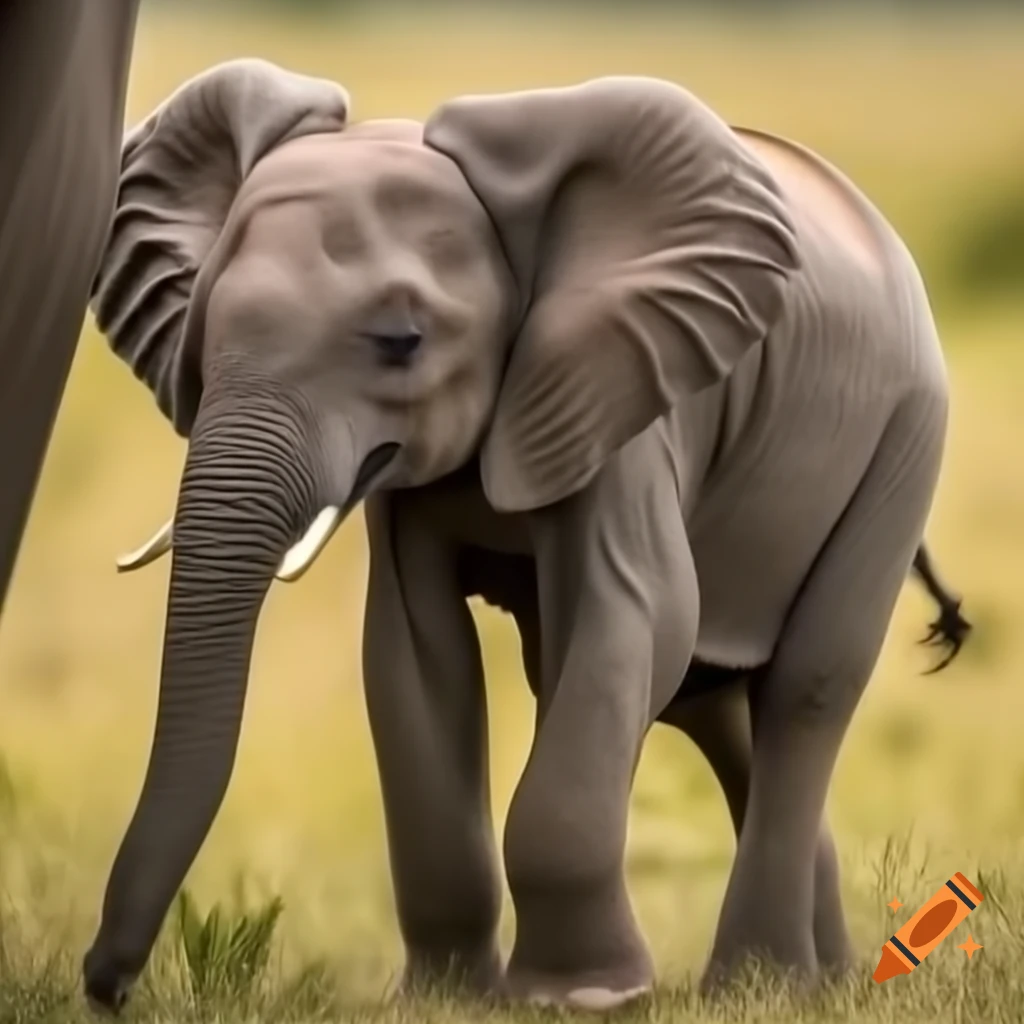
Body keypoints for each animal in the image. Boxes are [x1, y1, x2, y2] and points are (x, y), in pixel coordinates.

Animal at [80, 59, 957, 1012]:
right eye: (202, 337)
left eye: (402, 343)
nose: (104, 985)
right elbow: (414, 658)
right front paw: (445, 999)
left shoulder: (619, 403)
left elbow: (635, 622)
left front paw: (581, 1000)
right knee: (708, 698)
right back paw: (822, 981)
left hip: (907, 432)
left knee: (805, 689)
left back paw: (763, 985)